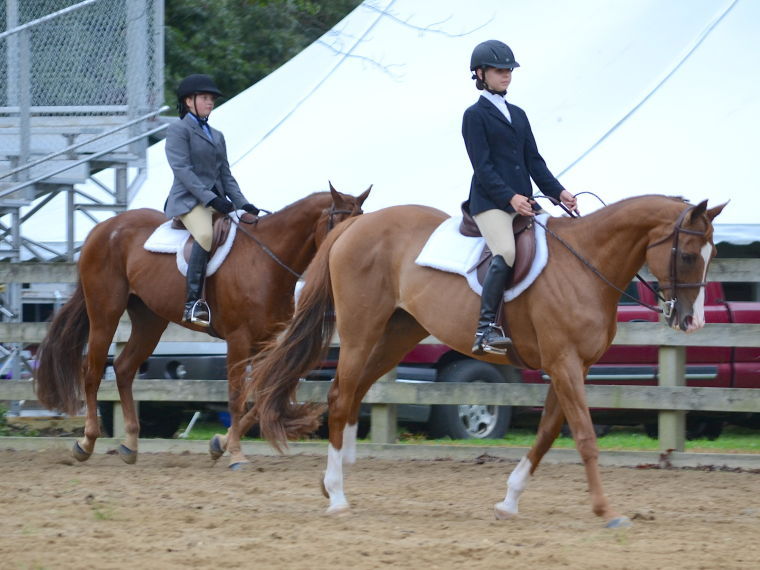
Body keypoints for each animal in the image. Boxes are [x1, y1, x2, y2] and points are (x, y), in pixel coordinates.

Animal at [34, 185, 370, 468]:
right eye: (341, 224)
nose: (353, 263)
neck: (265, 261)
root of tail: (103, 228)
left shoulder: (267, 342)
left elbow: (261, 394)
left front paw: (220, 444)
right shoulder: (239, 340)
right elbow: (236, 396)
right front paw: (235, 455)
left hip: (149, 320)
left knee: (124, 368)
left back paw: (130, 444)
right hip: (105, 312)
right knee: (91, 372)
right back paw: (86, 443)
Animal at [238, 194, 725, 527]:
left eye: (712, 254)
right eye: (686, 254)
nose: (692, 322)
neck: (587, 264)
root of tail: (355, 226)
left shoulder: (571, 367)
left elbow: (547, 433)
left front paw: (509, 501)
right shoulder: (564, 363)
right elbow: (585, 436)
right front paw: (606, 511)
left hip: (398, 333)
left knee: (354, 392)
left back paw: (329, 483)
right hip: (361, 329)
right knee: (340, 396)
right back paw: (338, 496)